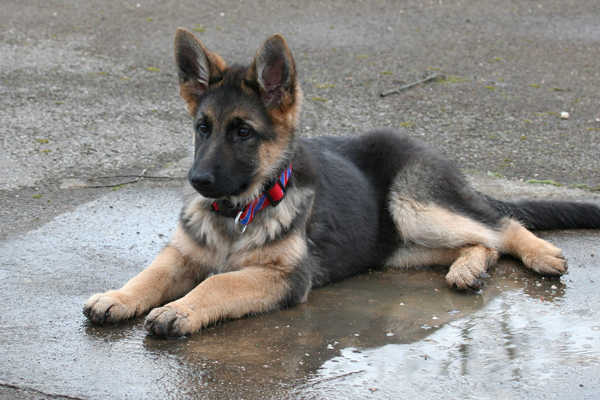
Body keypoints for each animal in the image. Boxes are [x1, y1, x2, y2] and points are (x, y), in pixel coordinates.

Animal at [83, 28, 600, 338]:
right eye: (202, 129)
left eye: (243, 132)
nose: (198, 180)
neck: (241, 208)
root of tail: (433, 153)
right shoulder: (182, 254)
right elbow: (150, 274)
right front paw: (118, 297)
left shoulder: (285, 277)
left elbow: (219, 285)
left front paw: (181, 308)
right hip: (399, 246)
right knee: (481, 241)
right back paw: (468, 269)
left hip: (414, 207)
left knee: (501, 226)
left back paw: (540, 254)